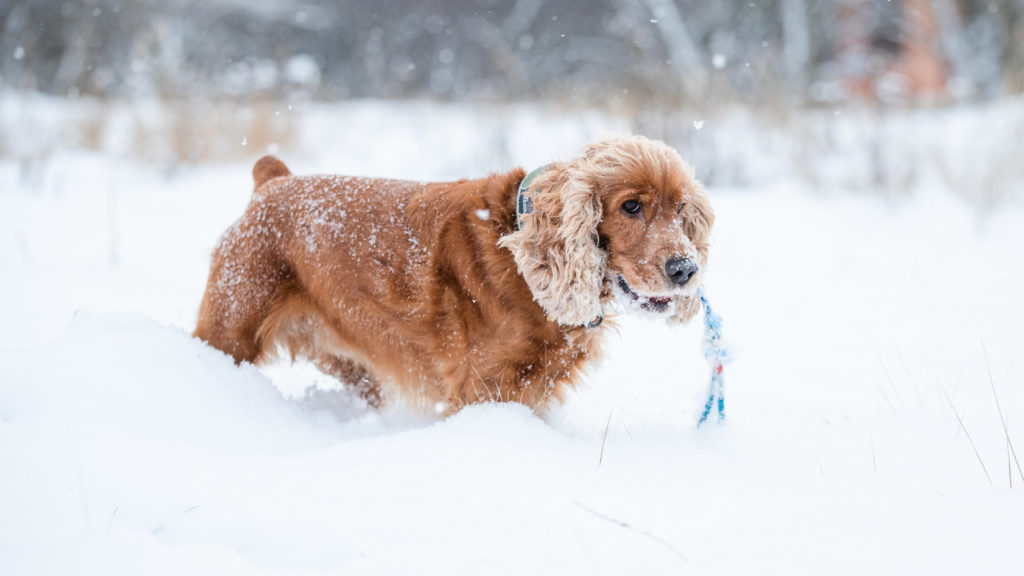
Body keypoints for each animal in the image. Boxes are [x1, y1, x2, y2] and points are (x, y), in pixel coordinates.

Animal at [195, 134, 716, 412]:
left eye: (681, 208)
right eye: (630, 206)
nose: (686, 269)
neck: (522, 256)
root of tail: (272, 182)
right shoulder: (483, 387)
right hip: (229, 327)